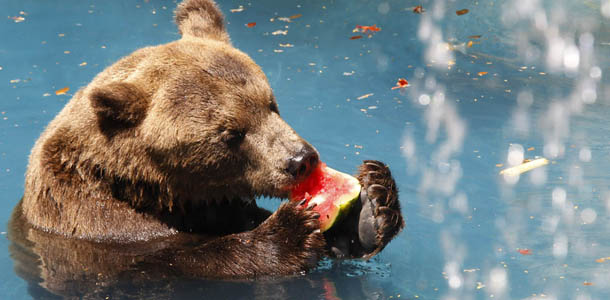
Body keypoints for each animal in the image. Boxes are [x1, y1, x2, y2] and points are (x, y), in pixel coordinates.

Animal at [9, 0, 402, 296]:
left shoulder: (220, 204)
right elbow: (182, 260)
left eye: (270, 104)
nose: (301, 160)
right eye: (231, 133)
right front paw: (289, 231)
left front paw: (374, 203)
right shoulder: (100, 232)